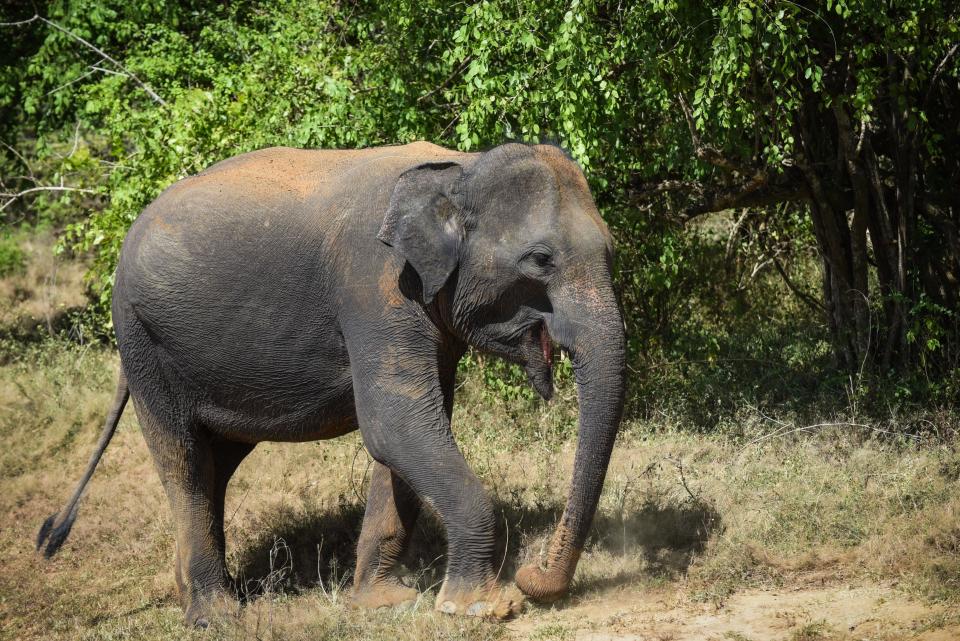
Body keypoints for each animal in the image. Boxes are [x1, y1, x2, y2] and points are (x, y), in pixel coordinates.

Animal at [37, 141, 628, 624]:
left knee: (213, 465)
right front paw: (482, 608)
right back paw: (215, 617)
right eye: (540, 259)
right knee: (182, 459)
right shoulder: (374, 286)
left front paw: (383, 604)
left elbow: (408, 435)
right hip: (144, 343)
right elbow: (395, 424)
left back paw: (194, 595)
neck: (459, 167)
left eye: (611, 250)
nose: (532, 577)